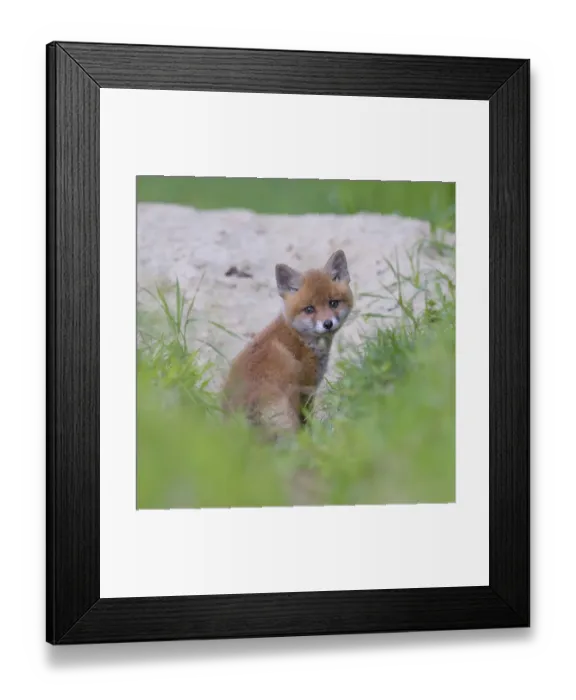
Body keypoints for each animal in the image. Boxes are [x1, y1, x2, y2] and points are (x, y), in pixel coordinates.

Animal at [222, 249, 353, 437]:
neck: (299, 338)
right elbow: (307, 423)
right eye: (309, 309)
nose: (327, 323)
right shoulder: (306, 389)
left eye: (333, 303)